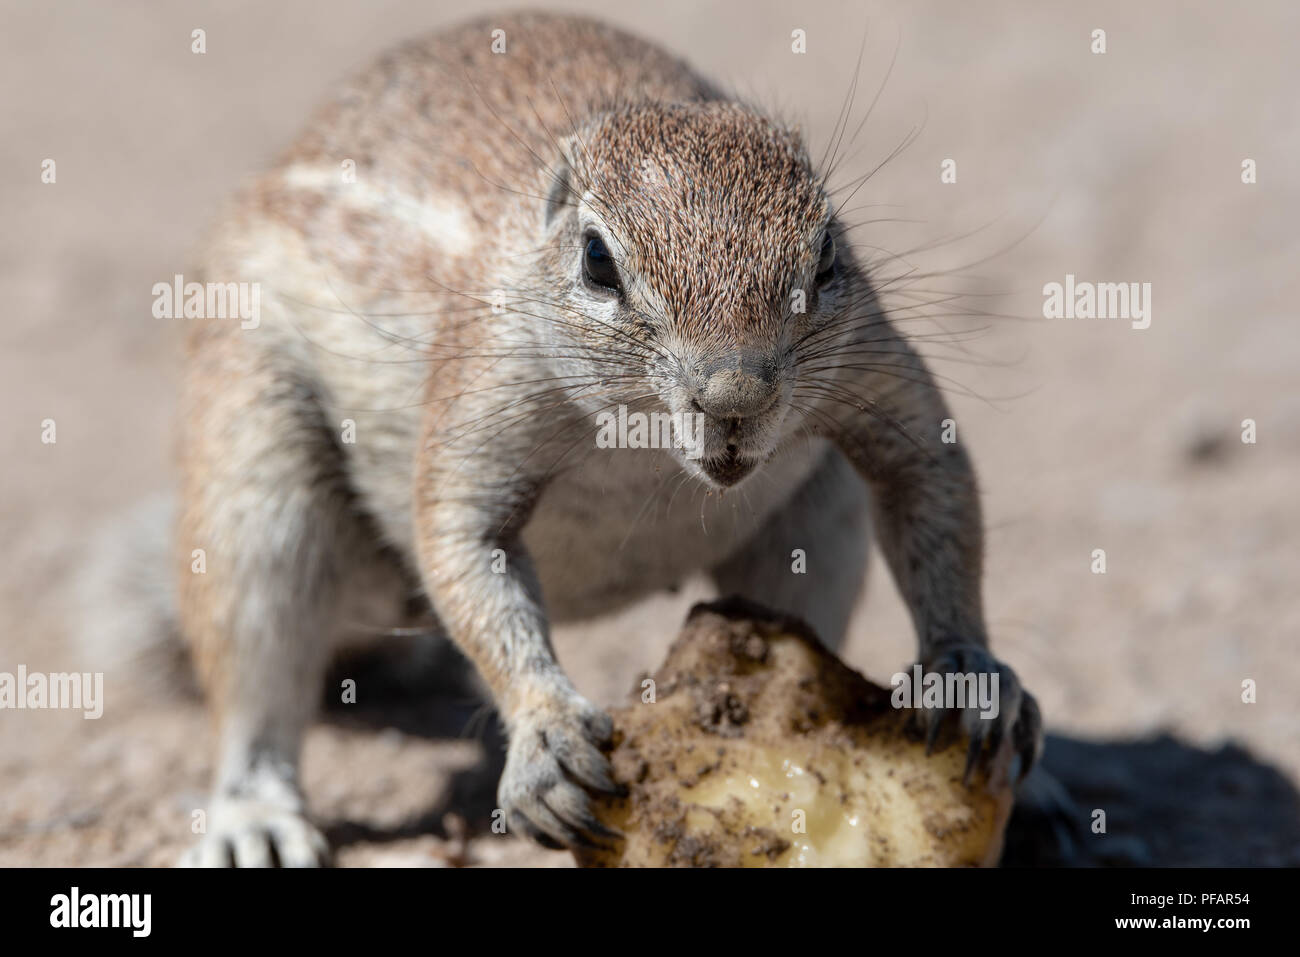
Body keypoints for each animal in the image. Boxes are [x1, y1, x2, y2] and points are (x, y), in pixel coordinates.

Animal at [169, 12, 1041, 865]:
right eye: (596, 260)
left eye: (827, 253)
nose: (735, 396)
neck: (645, 450)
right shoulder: (484, 387)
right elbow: (463, 545)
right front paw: (547, 739)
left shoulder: (872, 368)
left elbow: (929, 475)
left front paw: (967, 674)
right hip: (255, 481)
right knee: (258, 685)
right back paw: (255, 818)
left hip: (820, 517)